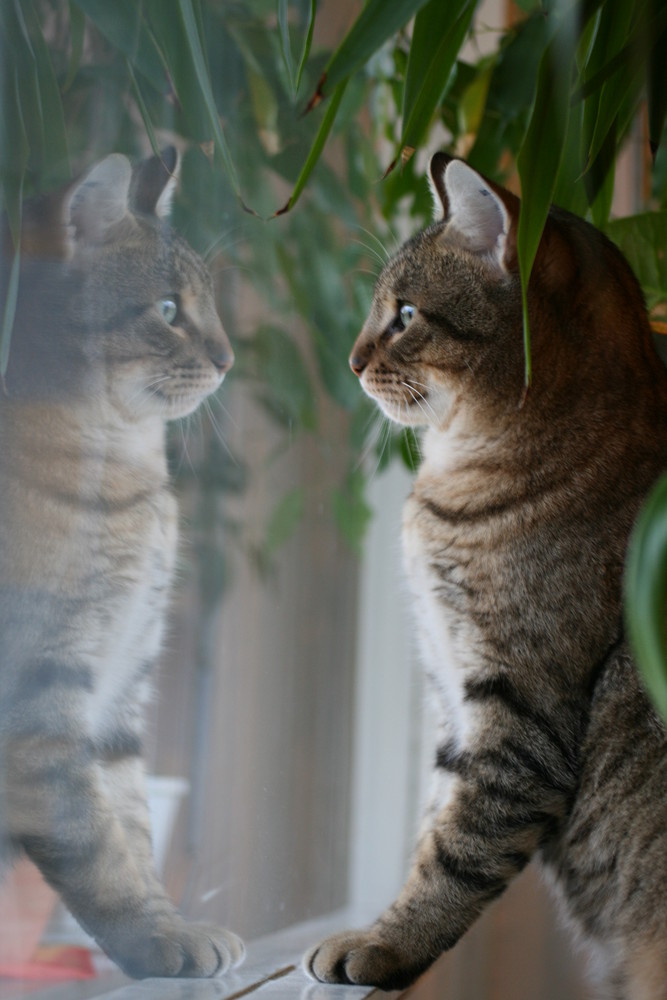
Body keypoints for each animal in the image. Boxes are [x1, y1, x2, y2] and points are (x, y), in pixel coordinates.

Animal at [0, 148, 245, 976]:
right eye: (169, 310)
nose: (230, 358)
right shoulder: (41, 698)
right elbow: (96, 847)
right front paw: (159, 939)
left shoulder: (119, 699)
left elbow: (132, 830)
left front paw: (170, 927)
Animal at [306, 152, 667, 996]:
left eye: (404, 313)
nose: (352, 360)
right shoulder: (454, 698)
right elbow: (431, 823)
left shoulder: (518, 712)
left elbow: (457, 849)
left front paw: (386, 943)